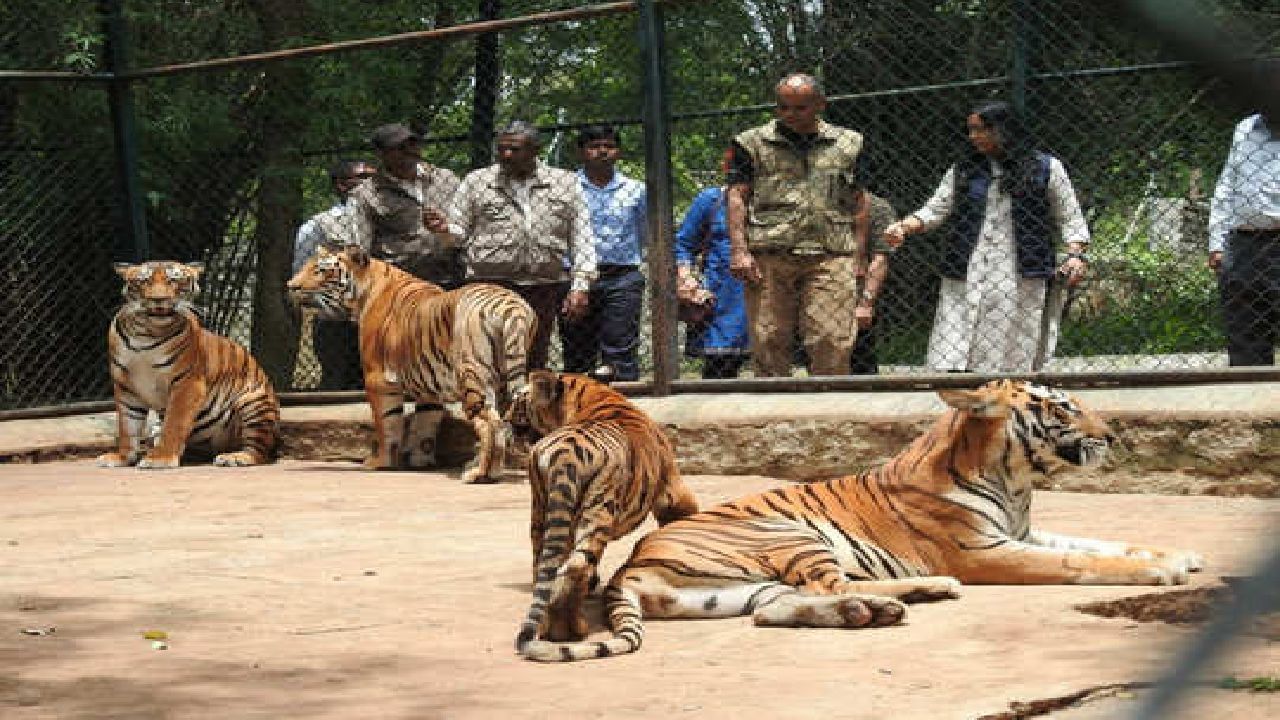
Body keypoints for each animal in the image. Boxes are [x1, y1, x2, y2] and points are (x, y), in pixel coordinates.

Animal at [96, 260, 281, 468]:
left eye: (174, 280)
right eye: (144, 281)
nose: (159, 299)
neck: (146, 333)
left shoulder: (187, 383)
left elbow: (174, 423)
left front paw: (160, 459)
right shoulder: (126, 387)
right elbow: (127, 426)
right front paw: (122, 458)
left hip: (254, 403)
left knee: (259, 450)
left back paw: (234, 457)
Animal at [286, 242, 535, 481]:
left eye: (320, 270)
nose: (291, 286)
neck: (365, 290)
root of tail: (510, 306)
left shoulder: (377, 381)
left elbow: (386, 424)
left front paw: (380, 462)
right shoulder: (430, 386)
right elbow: (424, 426)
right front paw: (420, 460)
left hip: (473, 377)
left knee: (490, 425)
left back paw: (479, 474)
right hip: (502, 381)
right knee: (502, 424)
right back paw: (491, 470)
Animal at [501, 368, 701, 655]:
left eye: (518, 399)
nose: (504, 418)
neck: (592, 395)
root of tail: (565, 453)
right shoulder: (673, 492)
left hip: (541, 511)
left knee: (546, 566)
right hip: (597, 513)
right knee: (576, 565)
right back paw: (572, 629)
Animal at [517, 379, 1198, 661]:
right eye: (1061, 408)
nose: (1113, 435)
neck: (1015, 479)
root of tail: (630, 566)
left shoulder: (1021, 532)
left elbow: (1106, 540)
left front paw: (1177, 555)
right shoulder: (988, 550)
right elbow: (1079, 559)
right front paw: (1164, 572)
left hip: (745, 588)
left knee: (779, 609)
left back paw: (884, 606)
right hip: (792, 536)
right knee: (827, 586)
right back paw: (902, 598)